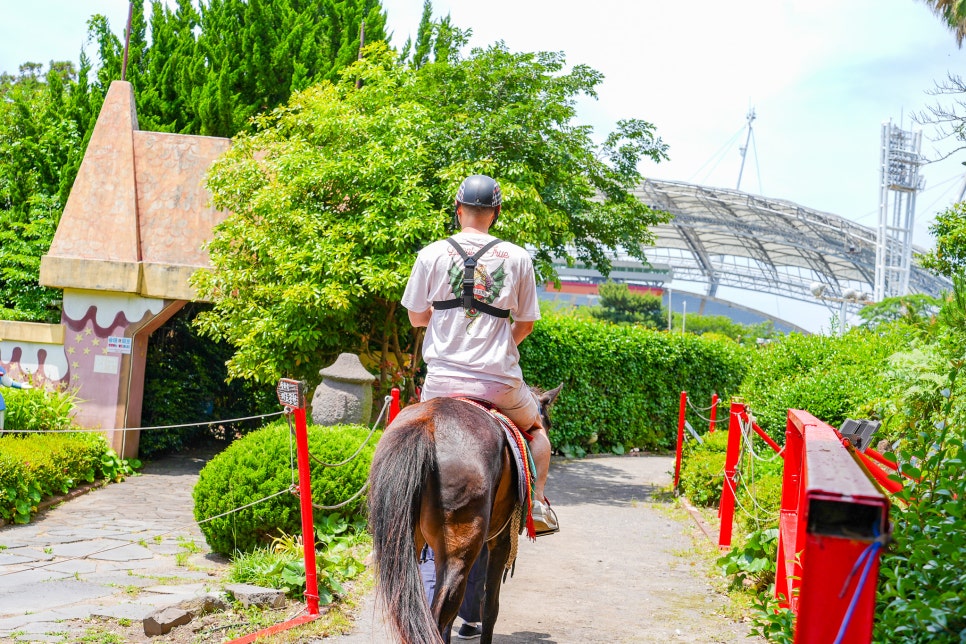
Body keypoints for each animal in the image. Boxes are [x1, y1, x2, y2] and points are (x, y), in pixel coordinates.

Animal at [370, 384, 568, 640]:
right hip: (461, 548)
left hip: (407, 543)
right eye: (549, 423)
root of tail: (427, 423)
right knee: (437, 619)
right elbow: (490, 605)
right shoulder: (501, 540)